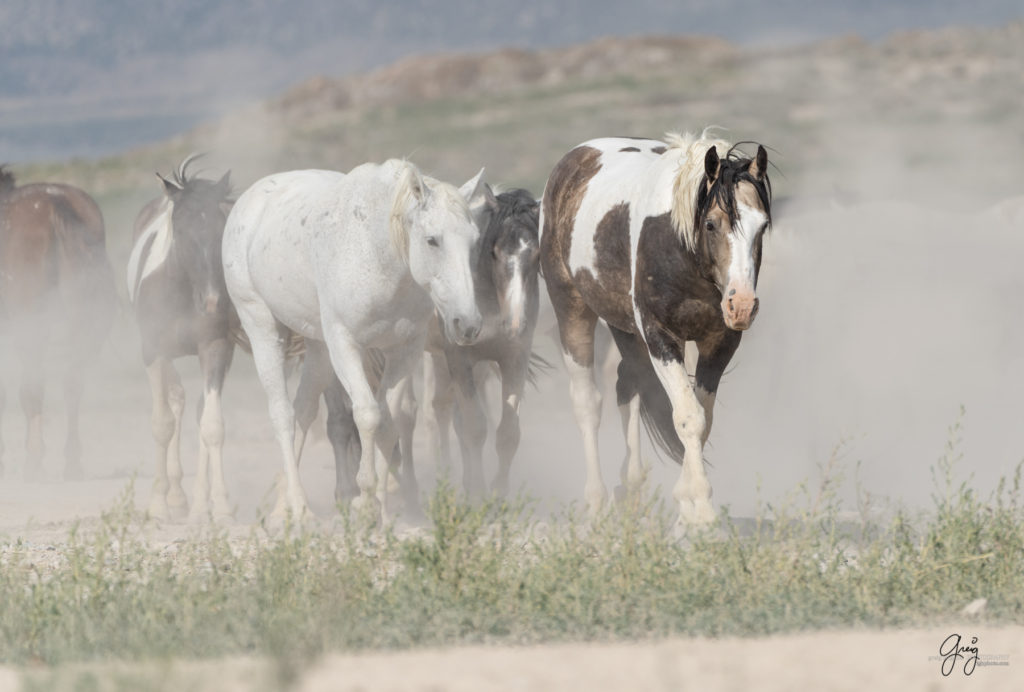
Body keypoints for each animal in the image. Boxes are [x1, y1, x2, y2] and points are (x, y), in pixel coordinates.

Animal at [0, 167, 116, 481]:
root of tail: (54, 203)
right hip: (83, 323)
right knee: (72, 383)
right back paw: (71, 462)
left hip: (31, 326)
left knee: (34, 387)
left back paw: (34, 461)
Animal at [223, 159, 483, 522]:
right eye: (433, 240)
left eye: (474, 241)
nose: (467, 324)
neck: (377, 254)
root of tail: (249, 200)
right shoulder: (345, 345)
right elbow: (368, 414)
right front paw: (366, 500)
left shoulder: (404, 350)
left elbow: (388, 421)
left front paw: (384, 510)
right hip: (262, 327)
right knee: (283, 415)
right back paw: (300, 509)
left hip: (318, 348)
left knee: (303, 411)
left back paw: (282, 509)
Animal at [540, 132, 770, 528]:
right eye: (712, 224)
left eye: (763, 225)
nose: (741, 305)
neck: (683, 254)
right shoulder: (661, 336)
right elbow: (688, 417)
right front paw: (702, 510)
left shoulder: (719, 343)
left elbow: (702, 420)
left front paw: (686, 504)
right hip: (572, 309)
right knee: (588, 404)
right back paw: (596, 502)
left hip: (625, 330)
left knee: (629, 386)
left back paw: (631, 487)